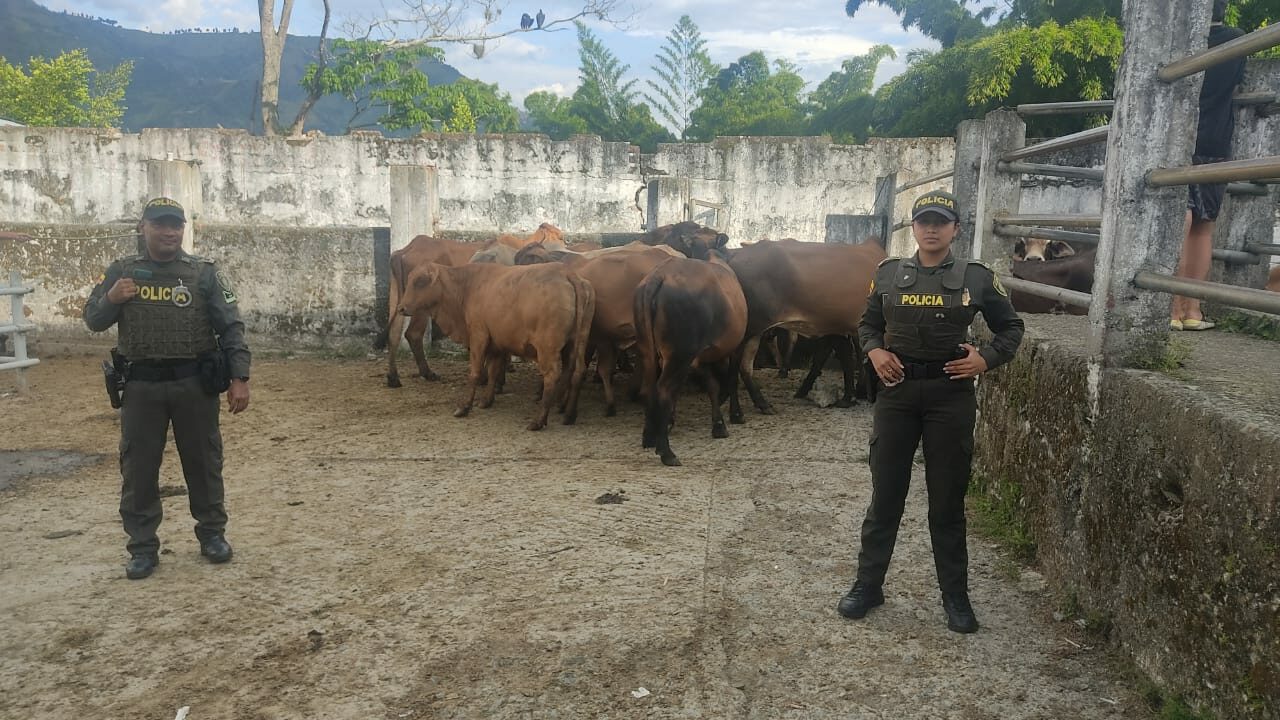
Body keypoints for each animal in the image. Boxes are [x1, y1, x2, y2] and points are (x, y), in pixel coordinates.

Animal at [394, 263, 593, 430]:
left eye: (420, 281)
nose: (401, 308)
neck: (467, 287)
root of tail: (566, 272)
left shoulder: (478, 336)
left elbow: (475, 372)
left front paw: (464, 407)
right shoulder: (497, 344)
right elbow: (493, 370)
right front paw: (486, 400)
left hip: (547, 348)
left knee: (552, 375)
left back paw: (539, 420)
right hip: (579, 343)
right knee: (578, 371)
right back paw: (569, 414)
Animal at [632, 242, 747, 466]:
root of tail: (658, 276)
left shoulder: (698, 358)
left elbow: (712, 385)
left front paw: (718, 424)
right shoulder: (735, 347)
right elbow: (730, 379)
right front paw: (735, 415)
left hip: (650, 352)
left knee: (648, 388)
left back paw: (649, 436)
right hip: (680, 354)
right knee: (664, 389)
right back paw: (666, 451)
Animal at [727, 235, 885, 415]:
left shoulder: (839, 328)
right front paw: (852, 395)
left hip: (756, 331)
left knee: (745, 368)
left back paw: (763, 404)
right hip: (748, 329)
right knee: (734, 366)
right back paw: (736, 412)